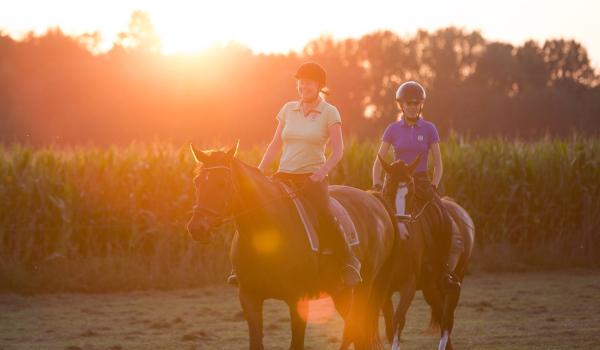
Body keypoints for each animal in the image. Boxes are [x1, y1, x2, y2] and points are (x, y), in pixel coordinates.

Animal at [185, 143, 396, 350]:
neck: (266, 236)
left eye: (222, 182)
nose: (197, 228)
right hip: (340, 292)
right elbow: (256, 342)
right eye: (196, 182)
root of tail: (373, 200)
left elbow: (296, 343)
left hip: (361, 290)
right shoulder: (249, 298)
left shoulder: (298, 300)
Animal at [378, 156, 476, 350]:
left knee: (446, 320)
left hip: (455, 277)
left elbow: (398, 320)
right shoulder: (385, 290)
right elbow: (389, 327)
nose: (402, 232)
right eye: (387, 190)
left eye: (410, 194)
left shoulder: (408, 285)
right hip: (430, 287)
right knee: (440, 311)